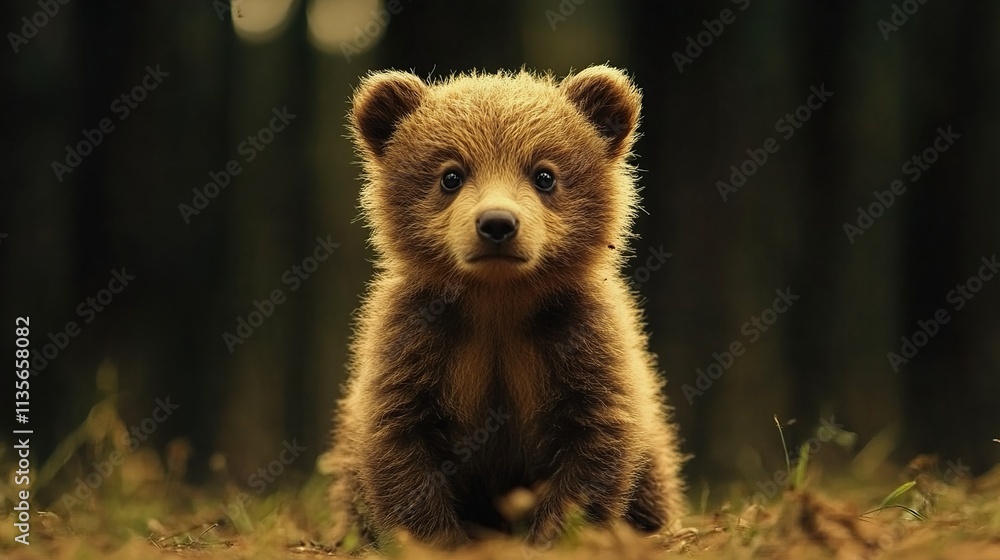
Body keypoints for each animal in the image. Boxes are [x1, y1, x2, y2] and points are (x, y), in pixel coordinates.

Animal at [325, 65, 686, 549]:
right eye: (451, 175)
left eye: (544, 175)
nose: (497, 223)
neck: (498, 300)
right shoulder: (419, 342)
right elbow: (400, 437)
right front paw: (437, 539)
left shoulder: (578, 340)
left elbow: (595, 438)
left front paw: (556, 534)